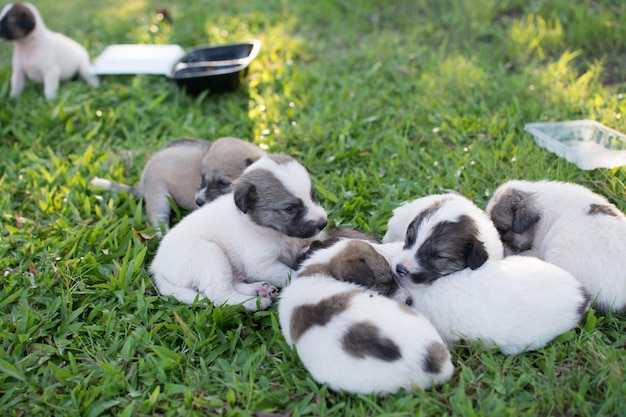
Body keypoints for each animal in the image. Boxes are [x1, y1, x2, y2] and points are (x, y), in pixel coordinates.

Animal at [149, 153, 330, 308]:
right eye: (290, 208)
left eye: (313, 195)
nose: (323, 223)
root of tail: (156, 265)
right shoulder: (261, 265)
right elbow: (292, 274)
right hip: (210, 255)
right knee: (219, 294)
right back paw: (252, 303)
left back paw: (258, 290)